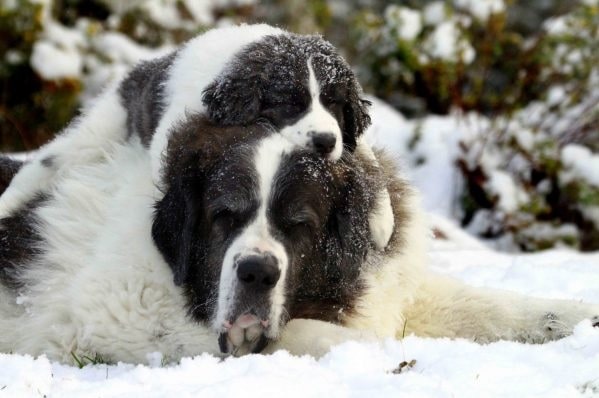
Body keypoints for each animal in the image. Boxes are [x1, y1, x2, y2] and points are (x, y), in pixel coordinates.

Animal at [1, 115, 599, 364]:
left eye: (299, 223)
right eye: (224, 215)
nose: (256, 273)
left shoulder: (394, 285)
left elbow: (491, 306)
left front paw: (577, 317)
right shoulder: (117, 317)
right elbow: (298, 333)